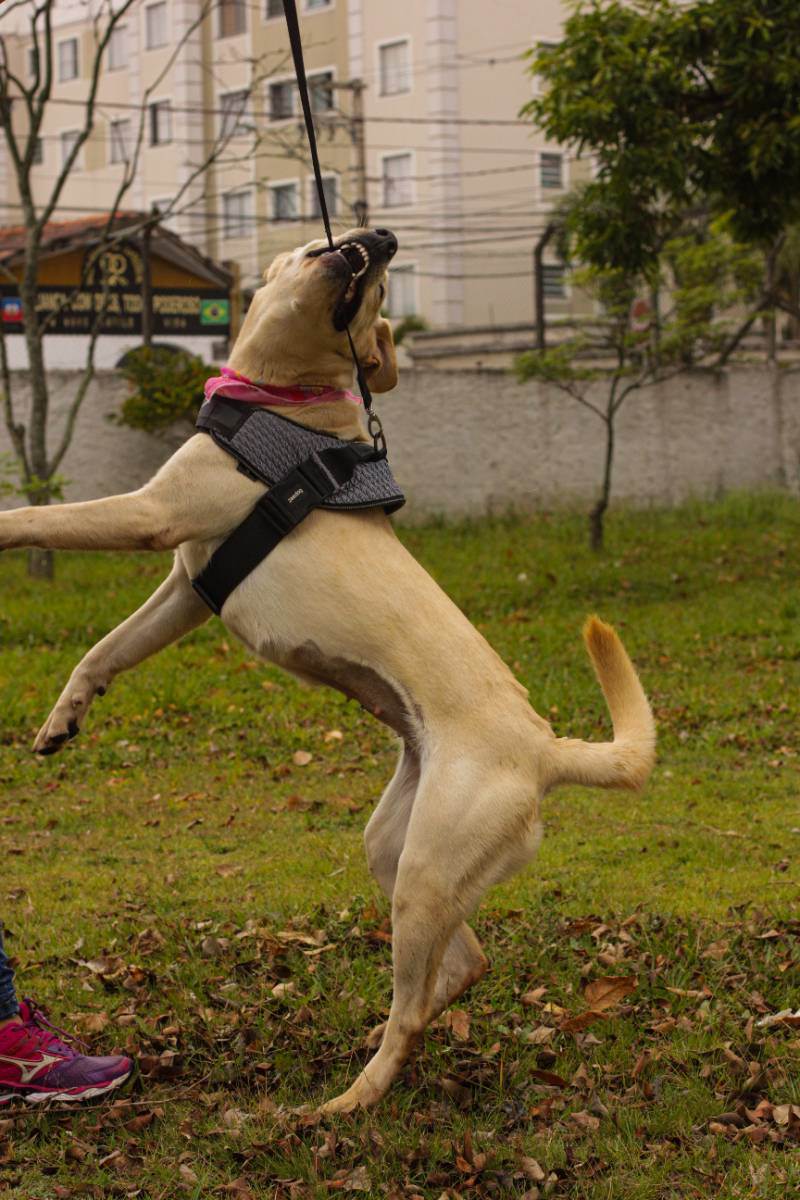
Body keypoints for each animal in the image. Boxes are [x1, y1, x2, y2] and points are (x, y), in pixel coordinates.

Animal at [0, 228, 655, 1112]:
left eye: (374, 285)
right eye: (325, 247)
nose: (381, 239)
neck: (285, 405)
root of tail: (548, 747)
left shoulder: (151, 515)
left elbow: (40, 516)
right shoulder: (185, 589)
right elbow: (104, 649)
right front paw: (64, 717)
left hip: (425, 869)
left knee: (413, 1007)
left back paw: (349, 1101)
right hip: (397, 847)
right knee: (460, 966)